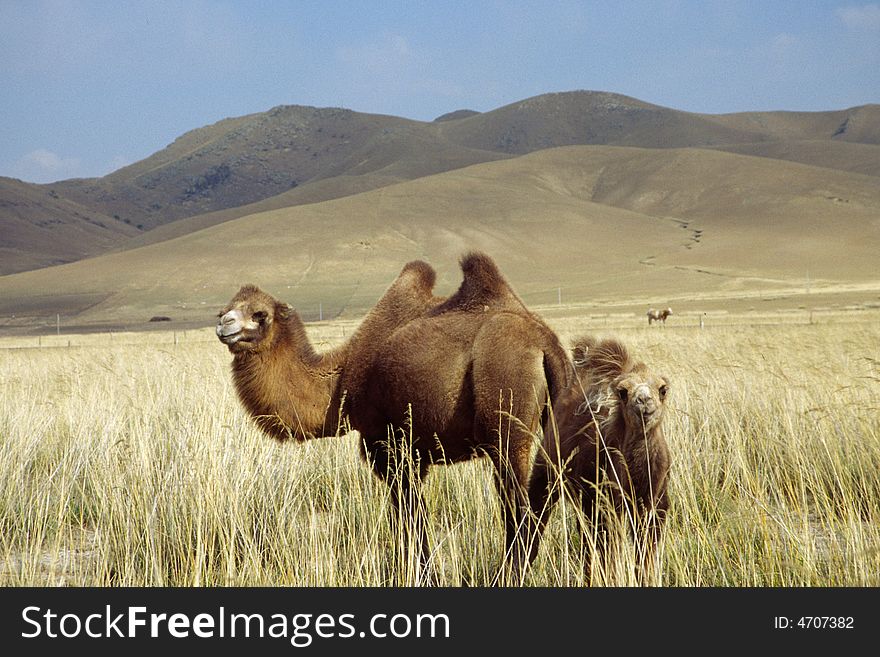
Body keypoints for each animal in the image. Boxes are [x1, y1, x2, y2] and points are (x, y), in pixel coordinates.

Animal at [217, 252, 576, 584]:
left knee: (519, 510)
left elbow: (411, 522)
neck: (340, 385)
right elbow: (413, 520)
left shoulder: (388, 447)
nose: (224, 324)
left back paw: (503, 576)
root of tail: (546, 343)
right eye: (227, 309)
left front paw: (423, 577)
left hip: (504, 412)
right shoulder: (417, 455)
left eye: (260, 315)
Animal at [524, 336, 672, 580]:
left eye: (662, 389)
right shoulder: (607, 503)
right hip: (548, 468)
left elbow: (645, 553)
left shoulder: (653, 505)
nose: (643, 401)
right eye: (623, 391)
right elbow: (608, 551)